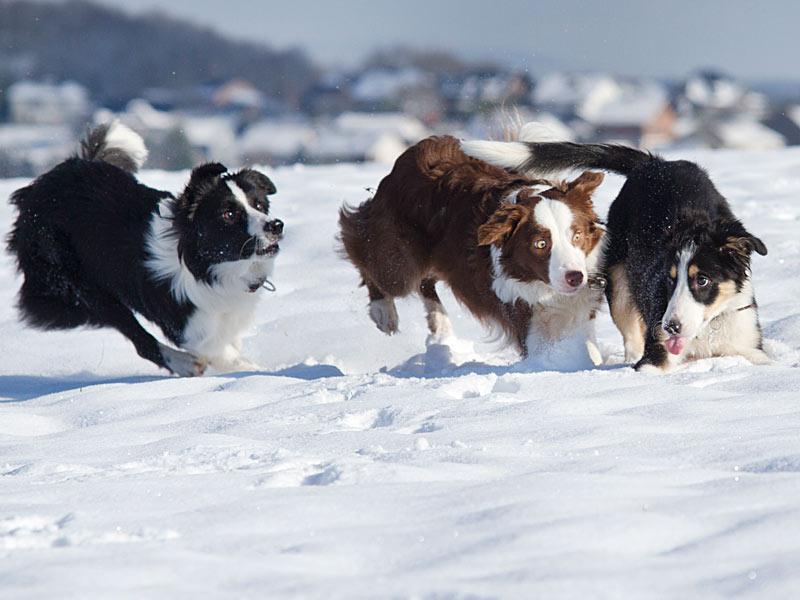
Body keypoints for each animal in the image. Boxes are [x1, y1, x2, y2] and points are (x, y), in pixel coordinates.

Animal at [7, 121, 284, 376]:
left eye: (259, 205)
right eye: (228, 214)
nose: (276, 225)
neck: (208, 268)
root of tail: (35, 189)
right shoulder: (191, 327)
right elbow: (225, 354)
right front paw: (257, 372)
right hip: (80, 284)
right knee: (138, 338)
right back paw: (185, 364)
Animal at [338, 135, 608, 364]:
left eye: (577, 235)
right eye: (540, 244)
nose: (575, 278)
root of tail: (417, 148)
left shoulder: (580, 313)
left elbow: (591, 352)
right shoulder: (526, 321)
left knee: (425, 282)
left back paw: (440, 324)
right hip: (400, 257)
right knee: (367, 253)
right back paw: (384, 312)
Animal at [462, 129, 768, 372]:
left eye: (702, 280)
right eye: (669, 280)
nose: (670, 327)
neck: (708, 329)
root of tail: (656, 164)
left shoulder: (748, 344)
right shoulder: (655, 356)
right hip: (619, 284)